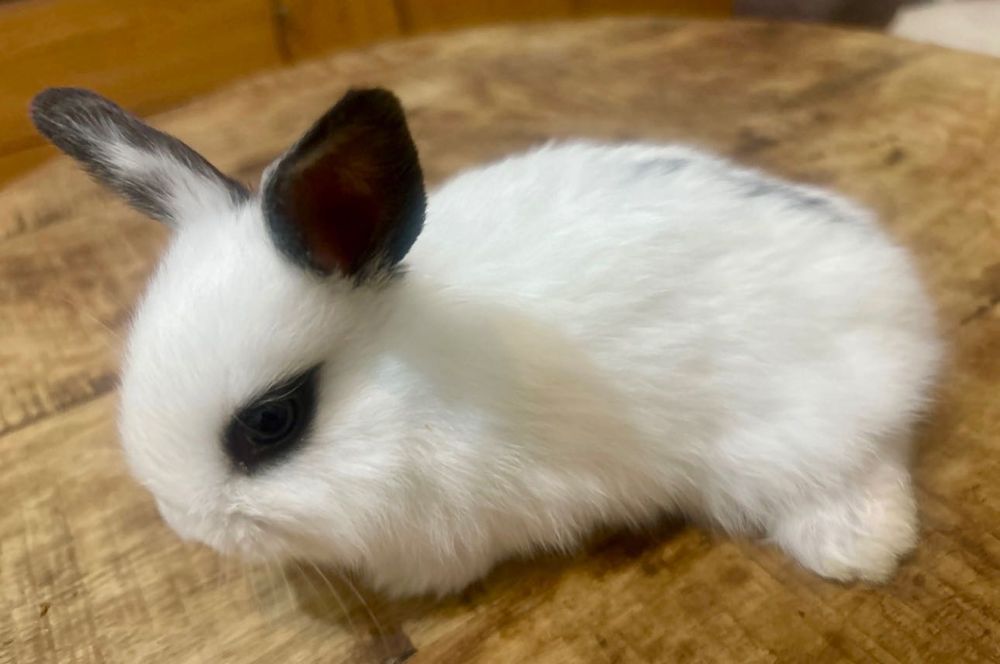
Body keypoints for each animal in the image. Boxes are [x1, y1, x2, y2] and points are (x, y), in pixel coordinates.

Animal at [30, 87, 942, 598]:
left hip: (792, 434)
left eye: (271, 422)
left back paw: (857, 551)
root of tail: (894, 284)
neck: (423, 383)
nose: (188, 526)